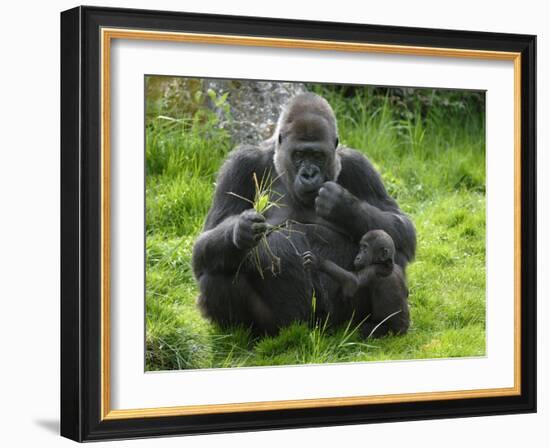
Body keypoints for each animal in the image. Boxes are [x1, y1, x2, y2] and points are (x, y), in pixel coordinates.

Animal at [192, 92, 416, 336]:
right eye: (299, 154)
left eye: (317, 155)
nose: (309, 174)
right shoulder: (241, 163)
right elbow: (203, 245)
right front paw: (241, 230)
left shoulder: (359, 165)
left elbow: (402, 229)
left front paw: (343, 206)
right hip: (281, 324)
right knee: (217, 271)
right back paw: (245, 335)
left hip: (341, 321)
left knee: (389, 260)